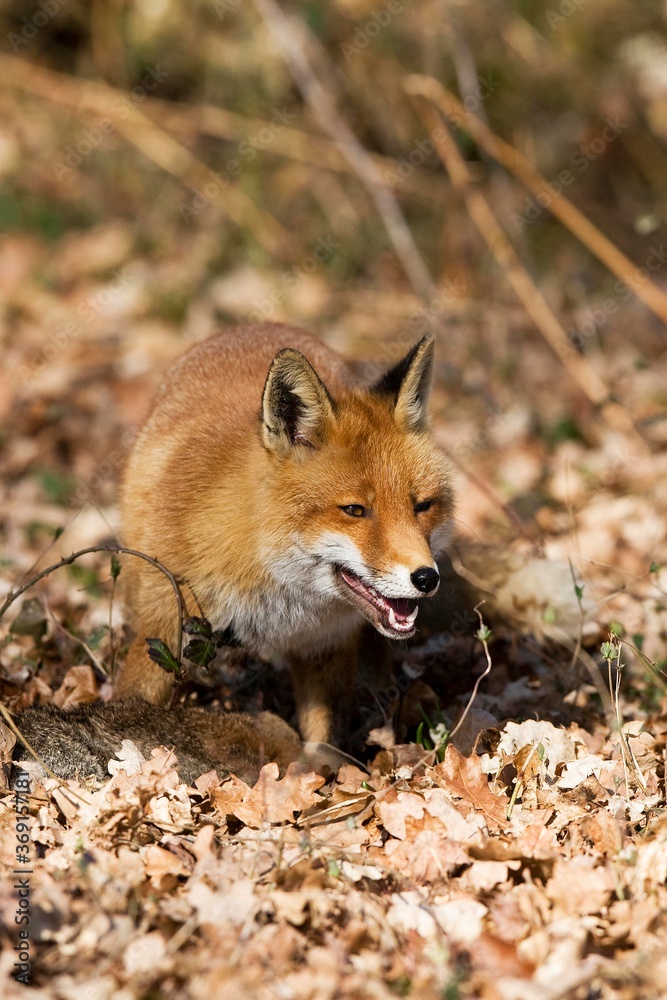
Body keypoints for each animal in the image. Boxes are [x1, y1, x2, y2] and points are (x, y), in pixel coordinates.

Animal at [115, 323, 454, 746]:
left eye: (421, 506)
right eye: (355, 510)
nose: (426, 578)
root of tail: (252, 326)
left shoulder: (326, 648)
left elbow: (323, 742)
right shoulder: (163, 627)